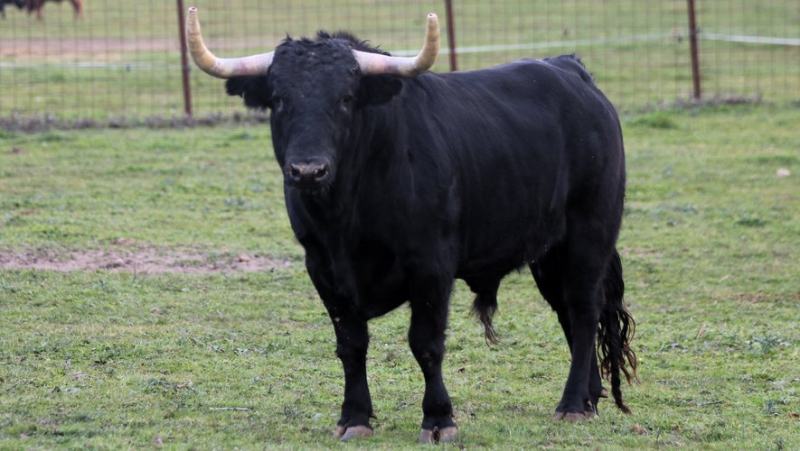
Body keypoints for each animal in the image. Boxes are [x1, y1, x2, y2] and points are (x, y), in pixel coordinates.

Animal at [212, 27, 636, 442]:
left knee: (583, 311)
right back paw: (590, 396)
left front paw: (438, 420)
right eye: (278, 100)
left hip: (589, 234)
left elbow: (426, 344)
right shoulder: (322, 269)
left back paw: (572, 404)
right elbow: (351, 345)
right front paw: (354, 417)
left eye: (346, 98)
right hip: (548, 253)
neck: (346, 215)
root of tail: (571, 70)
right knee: (568, 313)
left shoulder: (431, 267)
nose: (307, 171)